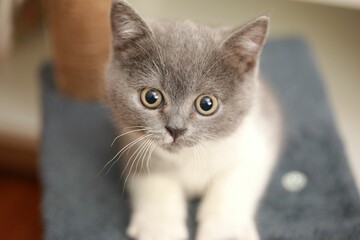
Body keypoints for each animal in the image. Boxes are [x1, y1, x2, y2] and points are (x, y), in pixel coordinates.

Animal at [104, 0, 282, 239]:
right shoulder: (132, 144)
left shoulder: (257, 140)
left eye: (206, 104)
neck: (189, 157)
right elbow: (154, 182)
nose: (175, 129)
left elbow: (234, 182)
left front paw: (223, 230)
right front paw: (160, 229)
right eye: (151, 97)